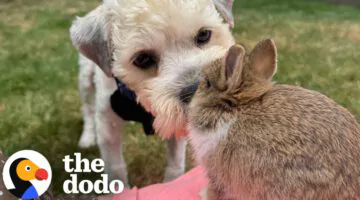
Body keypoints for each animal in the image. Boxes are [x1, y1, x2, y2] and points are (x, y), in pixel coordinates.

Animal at [70, 0, 235, 186]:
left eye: (204, 34)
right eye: (142, 59)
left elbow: (175, 164)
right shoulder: (107, 127)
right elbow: (115, 170)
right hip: (85, 80)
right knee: (88, 110)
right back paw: (87, 137)